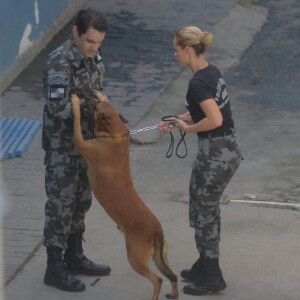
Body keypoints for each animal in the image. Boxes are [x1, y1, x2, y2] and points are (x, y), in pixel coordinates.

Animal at [70, 92, 178, 300]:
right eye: (98, 102)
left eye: (94, 107)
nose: (89, 96)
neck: (116, 134)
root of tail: (157, 232)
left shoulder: (80, 143)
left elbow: (77, 122)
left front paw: (75, 105)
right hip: (163, 257)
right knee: (173, 275)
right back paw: (173, 293)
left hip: (135, 258)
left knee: (157, 280)